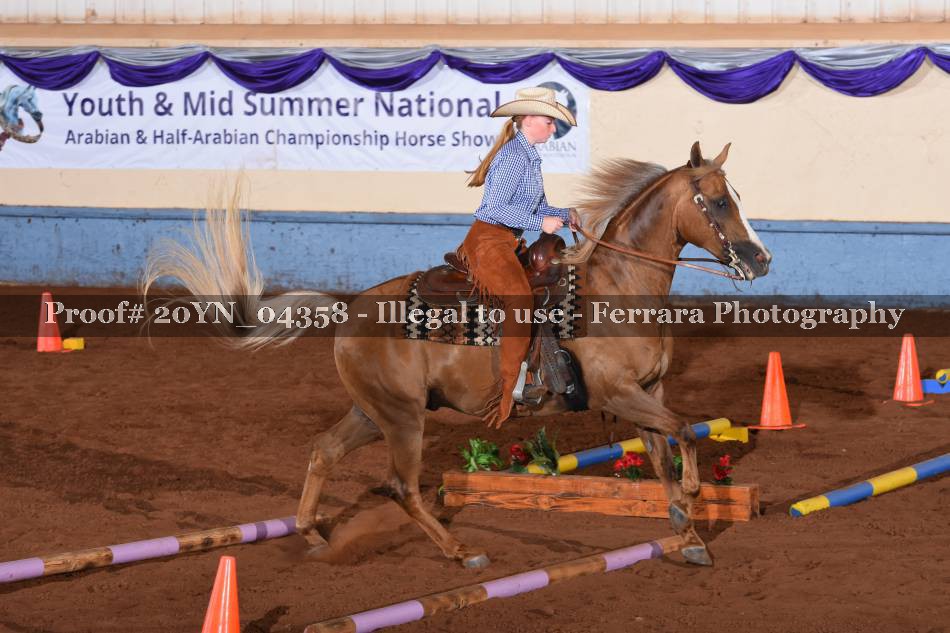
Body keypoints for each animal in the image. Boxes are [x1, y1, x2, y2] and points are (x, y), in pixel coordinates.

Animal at [143, 141, 771, 569]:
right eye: (718, 201)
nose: (761, 260)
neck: (617, 287)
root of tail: (350, 309)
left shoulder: (647, 392)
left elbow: (664, 453)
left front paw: (687, 533)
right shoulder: (619, 393)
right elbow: (685, 432)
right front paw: (694, 502)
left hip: (376, 410)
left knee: (324, 451)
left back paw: (314, 535)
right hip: (402, 418)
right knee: (401, 486)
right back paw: (461, 550)